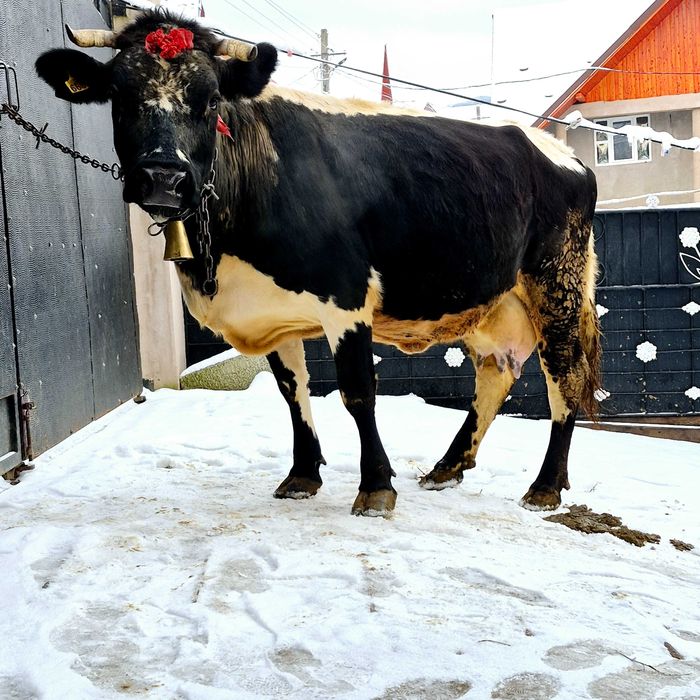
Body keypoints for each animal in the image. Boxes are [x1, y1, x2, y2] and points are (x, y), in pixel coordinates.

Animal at [36, 11, 600, 517]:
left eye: (210, 98)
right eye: (120, 96)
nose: (162, 178)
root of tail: (559, 151)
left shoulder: (345, 297)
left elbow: (357, 392)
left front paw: (376, 488)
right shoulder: (271, 314)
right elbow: (292, 393)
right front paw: (302, 475)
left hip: (557, 286)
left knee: (565, 377)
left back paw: (545, 487)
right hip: (490, 301)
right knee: (495, 374)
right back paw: (447, 468)